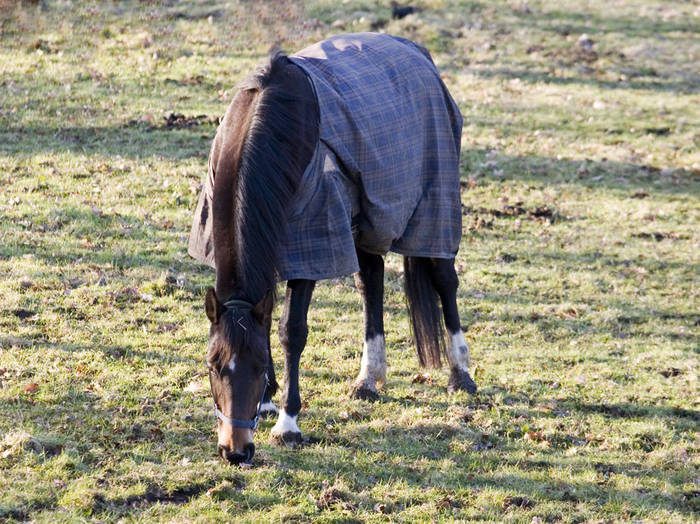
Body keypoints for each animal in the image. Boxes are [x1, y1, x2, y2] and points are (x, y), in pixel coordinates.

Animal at [189, 32, 478, 464]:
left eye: (256, 366)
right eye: (213, 365)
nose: (235, 451)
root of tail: (418, 52)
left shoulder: (312, 245)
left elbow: (291, 331)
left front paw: (288, 423)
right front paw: (269, 401)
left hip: (433, 205)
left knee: (445, 280)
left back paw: (461, 374)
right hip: (366, 221)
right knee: (371, 283)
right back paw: (369, 379)